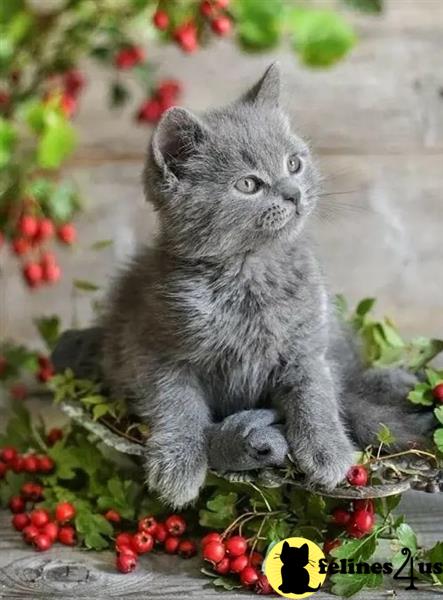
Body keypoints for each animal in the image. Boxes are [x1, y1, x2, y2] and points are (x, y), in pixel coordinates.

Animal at [99, 64, 434, 506]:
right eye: (248, 185)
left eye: (293, 163)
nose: (293, 193)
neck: (250, 273)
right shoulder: (153, 346)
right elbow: (177, 402)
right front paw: (178, 465)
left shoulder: (307, 342)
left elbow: (316, 390)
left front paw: (327, 448)